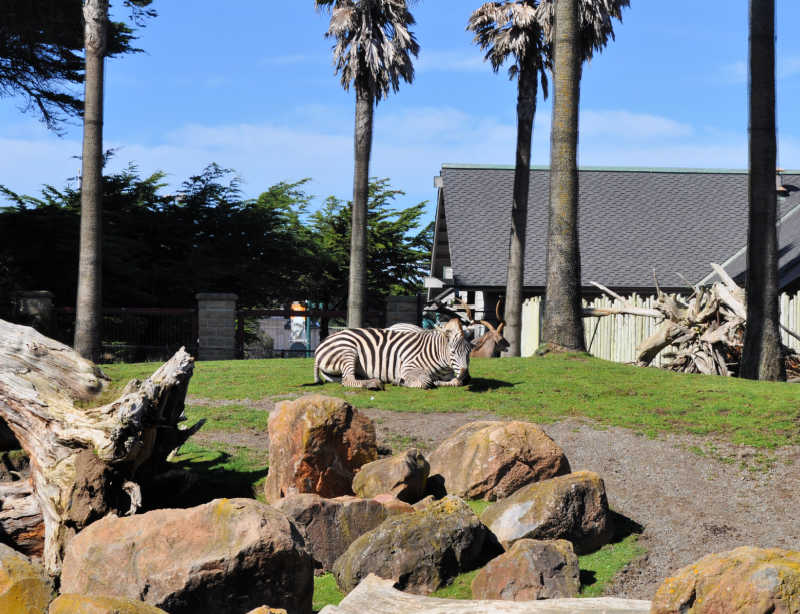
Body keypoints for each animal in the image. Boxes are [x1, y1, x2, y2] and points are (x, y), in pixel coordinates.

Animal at [313, 318, 473, 389]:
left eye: (469, 352)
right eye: (453, 352)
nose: (466, 374)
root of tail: (323, 342)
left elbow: (456, 382)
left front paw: (440, 381)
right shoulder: (408, 367)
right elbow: (425, 382)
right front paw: (401, 381)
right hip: (348, 351)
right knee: (347, 380)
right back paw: (374, 383)